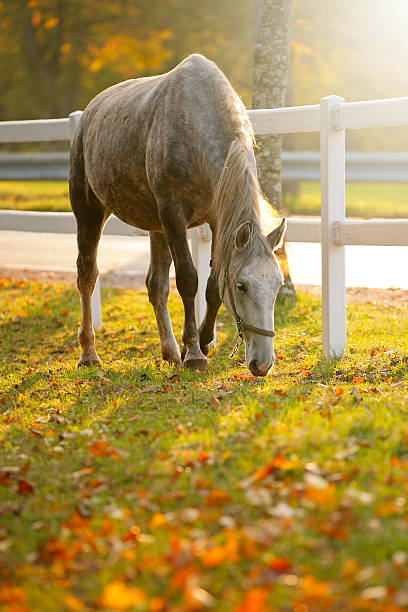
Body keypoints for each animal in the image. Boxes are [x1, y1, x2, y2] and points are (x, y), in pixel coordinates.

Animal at [69, 53, 286, 378]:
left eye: (277, 285)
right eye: (241, 286)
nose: (262, 364)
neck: (197, 127)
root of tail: (90, 113)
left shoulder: (217, 220)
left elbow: (212, 286)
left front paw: (202, 343)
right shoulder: (173, 216)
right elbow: (188, 280)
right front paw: (195, 353)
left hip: (156, 227)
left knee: (156, 285)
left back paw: (171, 352)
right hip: (90, 212)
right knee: (87, 275)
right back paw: (89, 353)